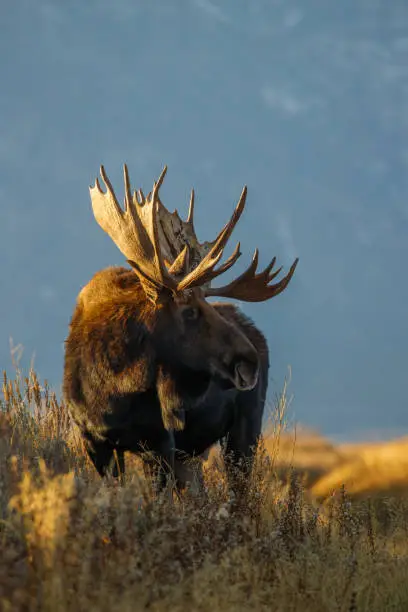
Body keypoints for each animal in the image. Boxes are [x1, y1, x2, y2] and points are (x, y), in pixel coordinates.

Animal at [64, 165, 300, 494]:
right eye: (189, 311)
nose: (248, 363)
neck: (116, 386)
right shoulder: (95, 442)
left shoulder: (161, 443)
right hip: (193, 453)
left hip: (244, 431)